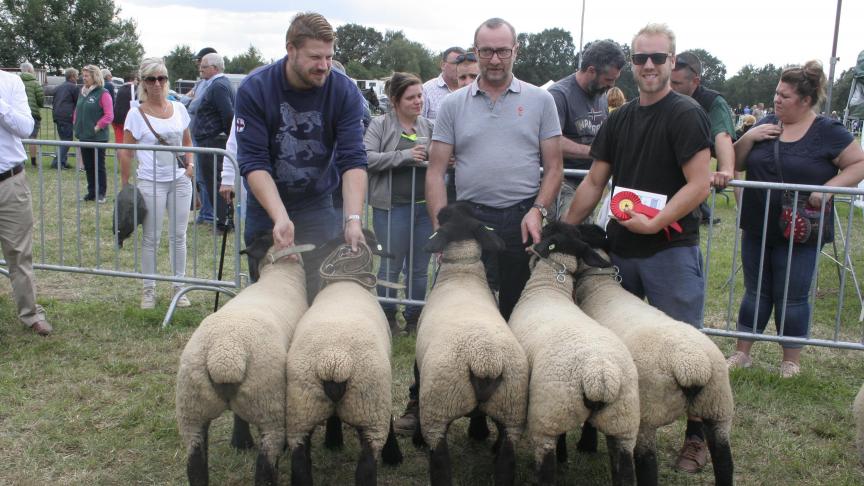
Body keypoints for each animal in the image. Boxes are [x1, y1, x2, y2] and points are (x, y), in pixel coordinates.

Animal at [176, 237, 310, 486]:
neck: (280, 275)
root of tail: (224, 356)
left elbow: (238, 415)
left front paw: (240, 441)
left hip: (192, 409)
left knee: (195, 465)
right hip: (267, 405)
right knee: (265, 465)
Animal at [286, 239, 404, 486]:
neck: (346, 280)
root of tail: (333, 360)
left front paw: (333, 442)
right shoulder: (383, 388)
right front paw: (393, 455)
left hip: (301, 409)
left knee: (300, 463)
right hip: (370, 408)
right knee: (366, 468)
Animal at [416, 201, 528, 486]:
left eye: (442, 215)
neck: (462, 273)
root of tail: (486, 361)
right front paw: (478, 433)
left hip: (438, 405)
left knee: (440, 462)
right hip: (512, 407)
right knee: (507, 461)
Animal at [506, 221, 640, 486]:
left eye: (545, 232)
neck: (548, 287)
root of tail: (600, 375)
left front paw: (563, 457)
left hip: (550, 411)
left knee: (547, 462)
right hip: (623, 421)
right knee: (625, 469)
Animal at [572, 229, 736, 486]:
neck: (600, 286)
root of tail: (692, 366)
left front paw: (586, 444)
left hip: (649, 410)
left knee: (647, 463)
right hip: (718, 405)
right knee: (724, 461)